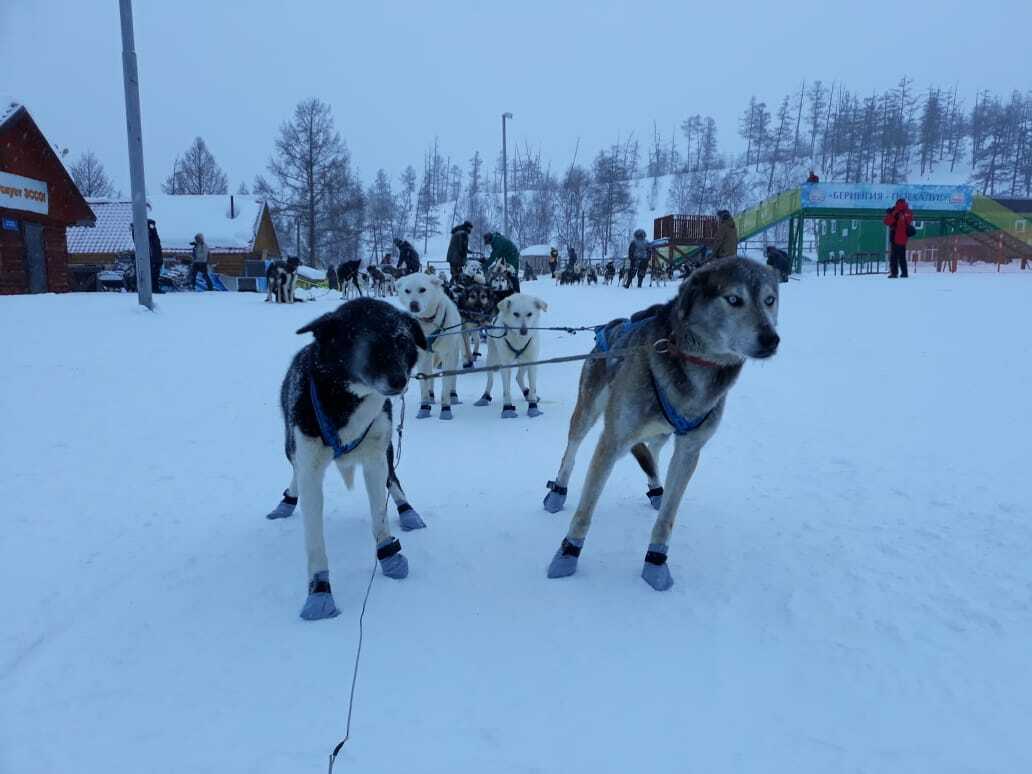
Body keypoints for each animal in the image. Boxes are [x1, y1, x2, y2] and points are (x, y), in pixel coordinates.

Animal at [266, 299, 431, 623]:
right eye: (365, 342)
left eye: (403, 340)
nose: (400, 380)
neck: (349, 401)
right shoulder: (310, 469)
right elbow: (315, 542)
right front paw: (319, 592)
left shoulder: (375, 460)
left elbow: (380, 517)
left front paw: (389, 556)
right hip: (290, 447)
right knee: (293, 472)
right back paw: (287, 500)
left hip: (387, 447)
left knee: (394, 478)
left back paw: (407, 510)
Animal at [396, 272, 462, 418]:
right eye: (407, 291)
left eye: (422, 289)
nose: (413, 305)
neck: (427, 325)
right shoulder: (422, 357)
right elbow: (424, 382)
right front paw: (424, 407)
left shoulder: (447, 354)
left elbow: (446, 383)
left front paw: (446, 409)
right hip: (430, 357)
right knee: (430, 374)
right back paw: (431, 396)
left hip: (454, 353)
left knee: (453, 376)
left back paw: (453, 395)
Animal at [474, 293, 549, 421]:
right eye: (516, 314)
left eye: (530, 314)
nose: (524, 331)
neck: (518, 341)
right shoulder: (505, 365)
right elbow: (506, 390)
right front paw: (508, 409)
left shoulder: (532, 361)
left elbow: (533, 387)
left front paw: (533, 407)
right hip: (492, 359)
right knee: (490, 380)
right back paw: (484, 397)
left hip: (524, 361)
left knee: (518, 377)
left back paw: (526, 392)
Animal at [544, 258, 776, 590]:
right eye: (733, 299)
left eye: (770, 300)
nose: (772, 339)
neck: (694, 365)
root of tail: (609, 327)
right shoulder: (611, 441)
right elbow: (585, 509)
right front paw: (568, 553)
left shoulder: (689, 450)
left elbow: (668, 517)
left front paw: (656, 560)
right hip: (587, 414)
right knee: (571, 452)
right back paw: (558, 491)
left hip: (663, 432)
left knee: (651, 454)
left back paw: (656, 489)